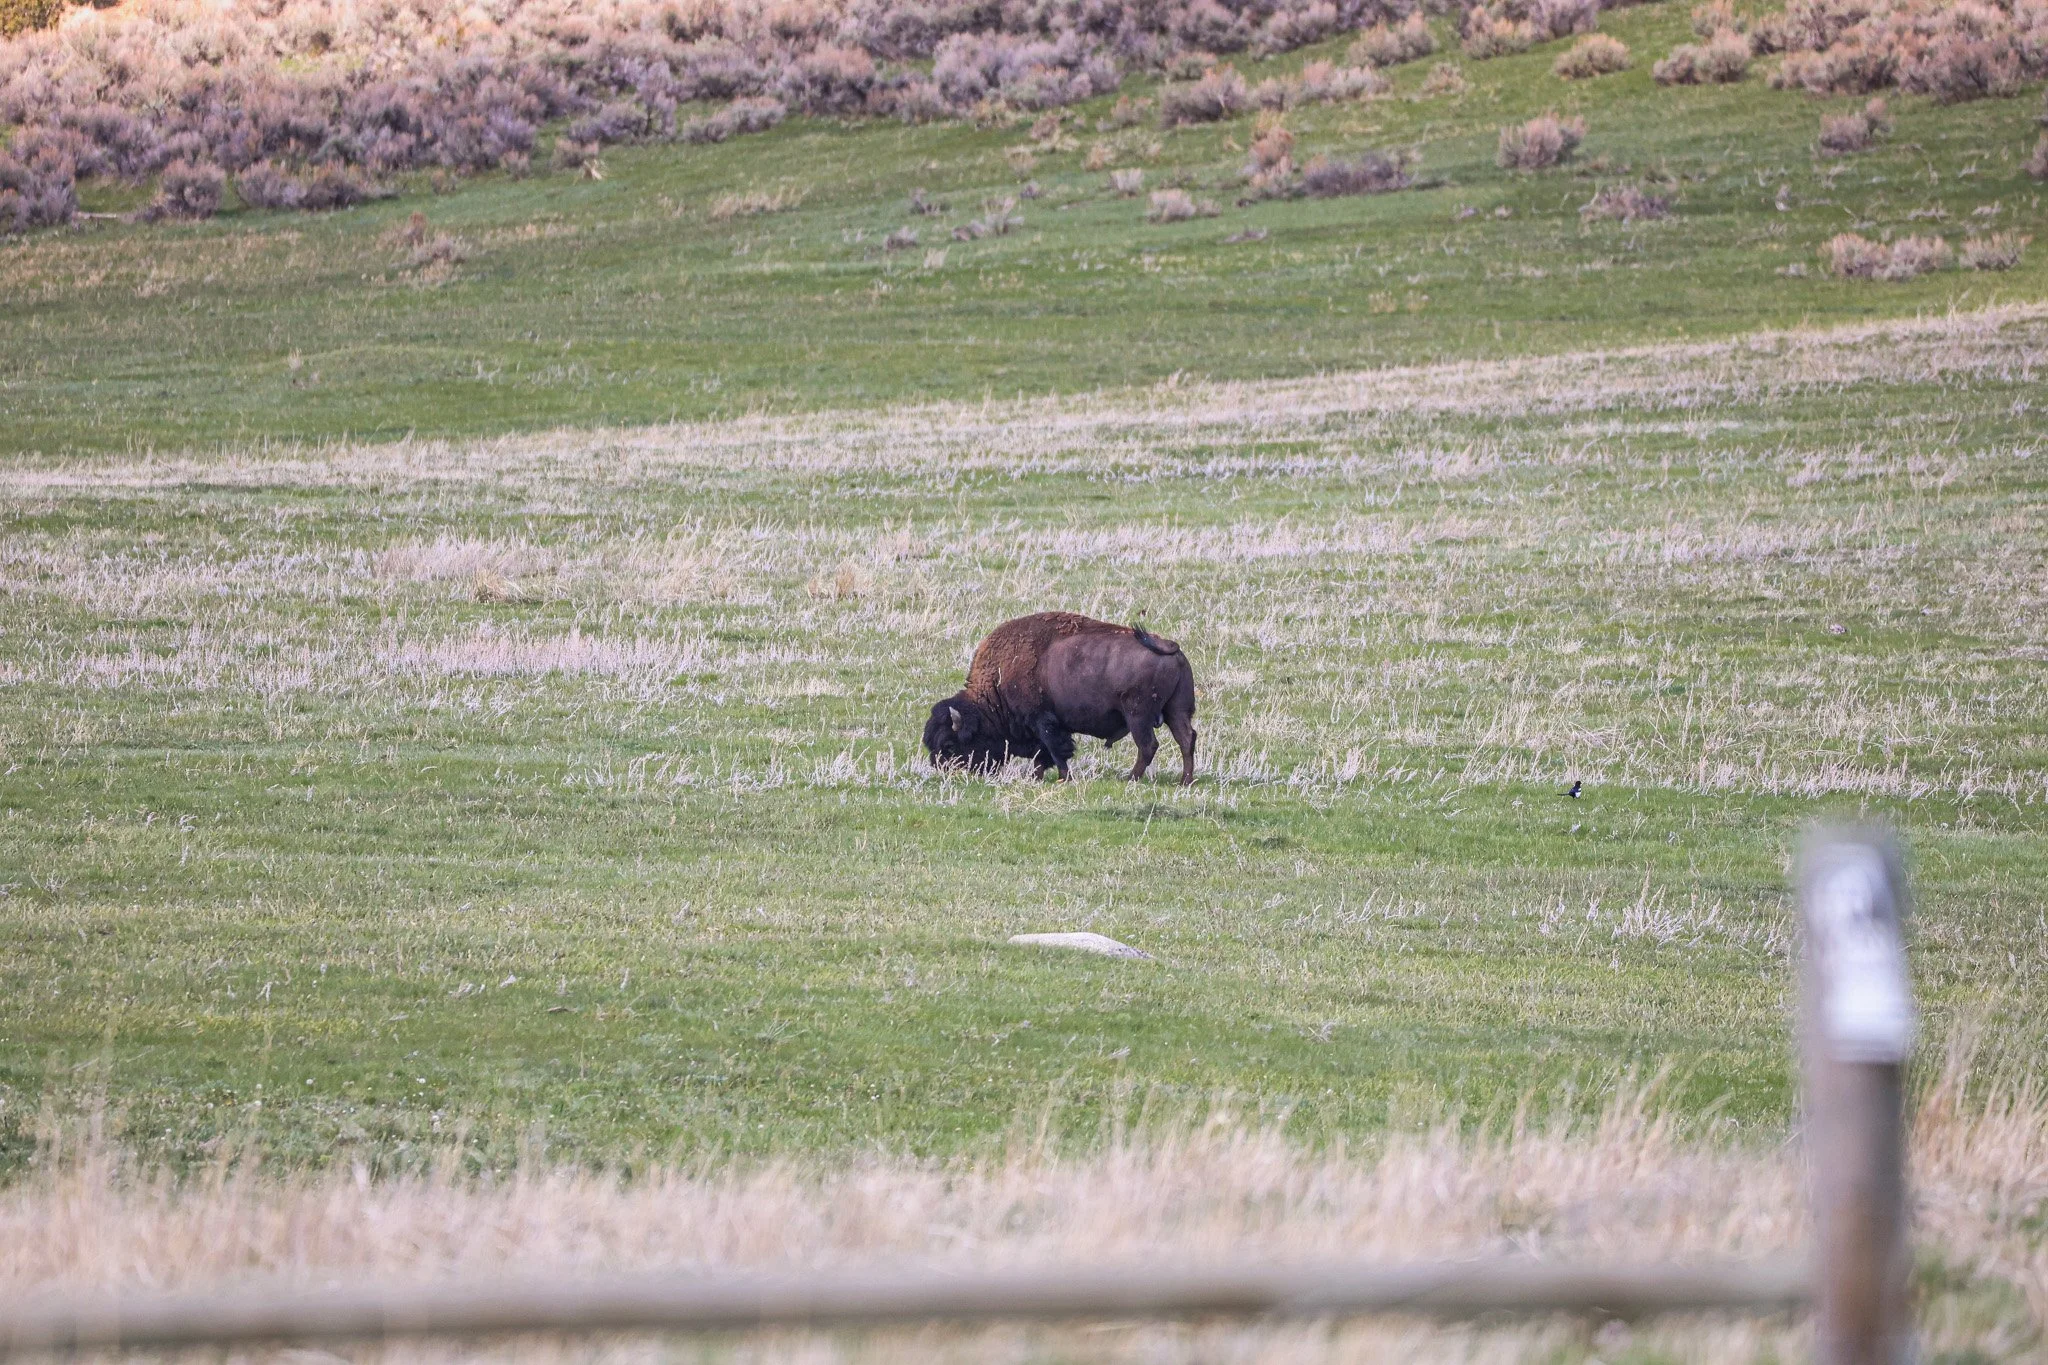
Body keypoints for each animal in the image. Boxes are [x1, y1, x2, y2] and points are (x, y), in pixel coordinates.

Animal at [923, 612, 1198, 784]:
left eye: (949, 745)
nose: (942, 770)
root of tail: (1169, 646)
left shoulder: (1043, 722)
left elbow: (1055, 750)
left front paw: (1064, 778)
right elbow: (1042, 755)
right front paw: (1036, 778)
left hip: (1137, 715)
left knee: (1148, 745)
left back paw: (1130, 779)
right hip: (1176, 710)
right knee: (1186, 739)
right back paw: (1185, 781)